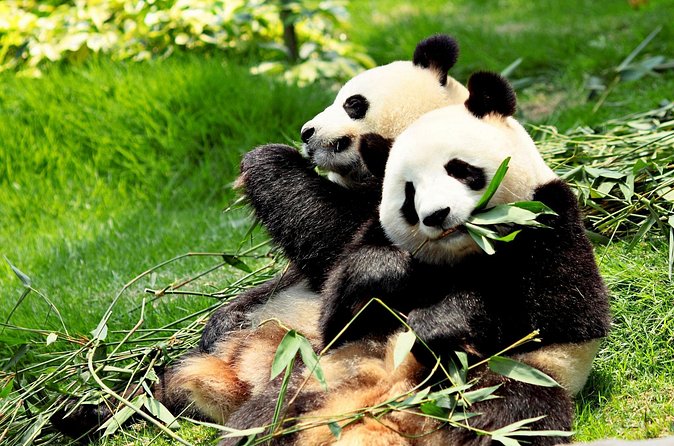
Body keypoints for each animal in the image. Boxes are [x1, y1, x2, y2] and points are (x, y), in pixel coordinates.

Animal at [218, 72, 610, 446]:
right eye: (409, 192)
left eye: (459, 169)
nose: (437, 215)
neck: (464, 254)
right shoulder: (373, 234)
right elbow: (337, 317)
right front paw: (385, 272)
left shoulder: (549, 218)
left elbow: (560, 315)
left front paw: (439, 323)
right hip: (323, 374)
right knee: (265, 418)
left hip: (507, 377)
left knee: (507, 414)